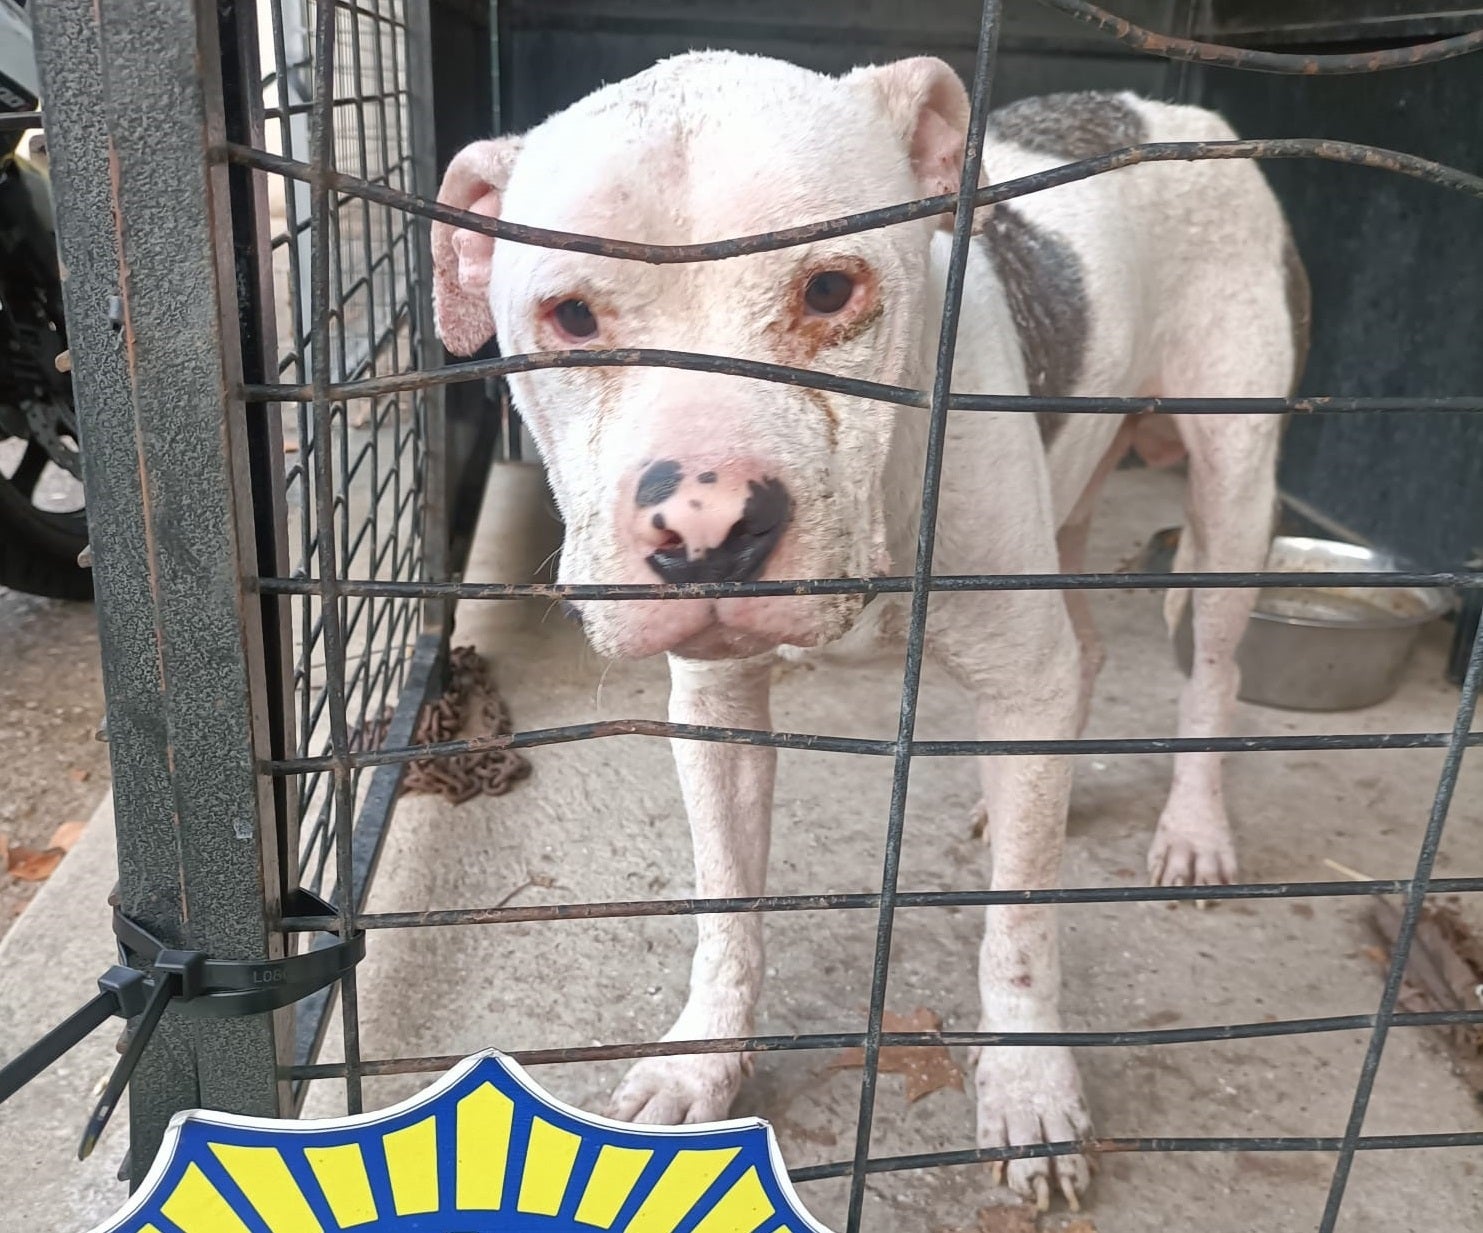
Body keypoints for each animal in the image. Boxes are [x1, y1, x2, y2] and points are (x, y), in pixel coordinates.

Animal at [433, 53, 1310, 1210]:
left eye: (828, 291)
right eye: (571, 315)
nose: (704, 524)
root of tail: (1172, 110)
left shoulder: (1017, 673)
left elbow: (1019, 927)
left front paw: (1029, 1091)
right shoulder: (716, 712)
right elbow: (726, 904)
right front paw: (702, 1062)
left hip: (1233, 483)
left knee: (1208, 664)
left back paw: (1193, 830)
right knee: (1082, 653)